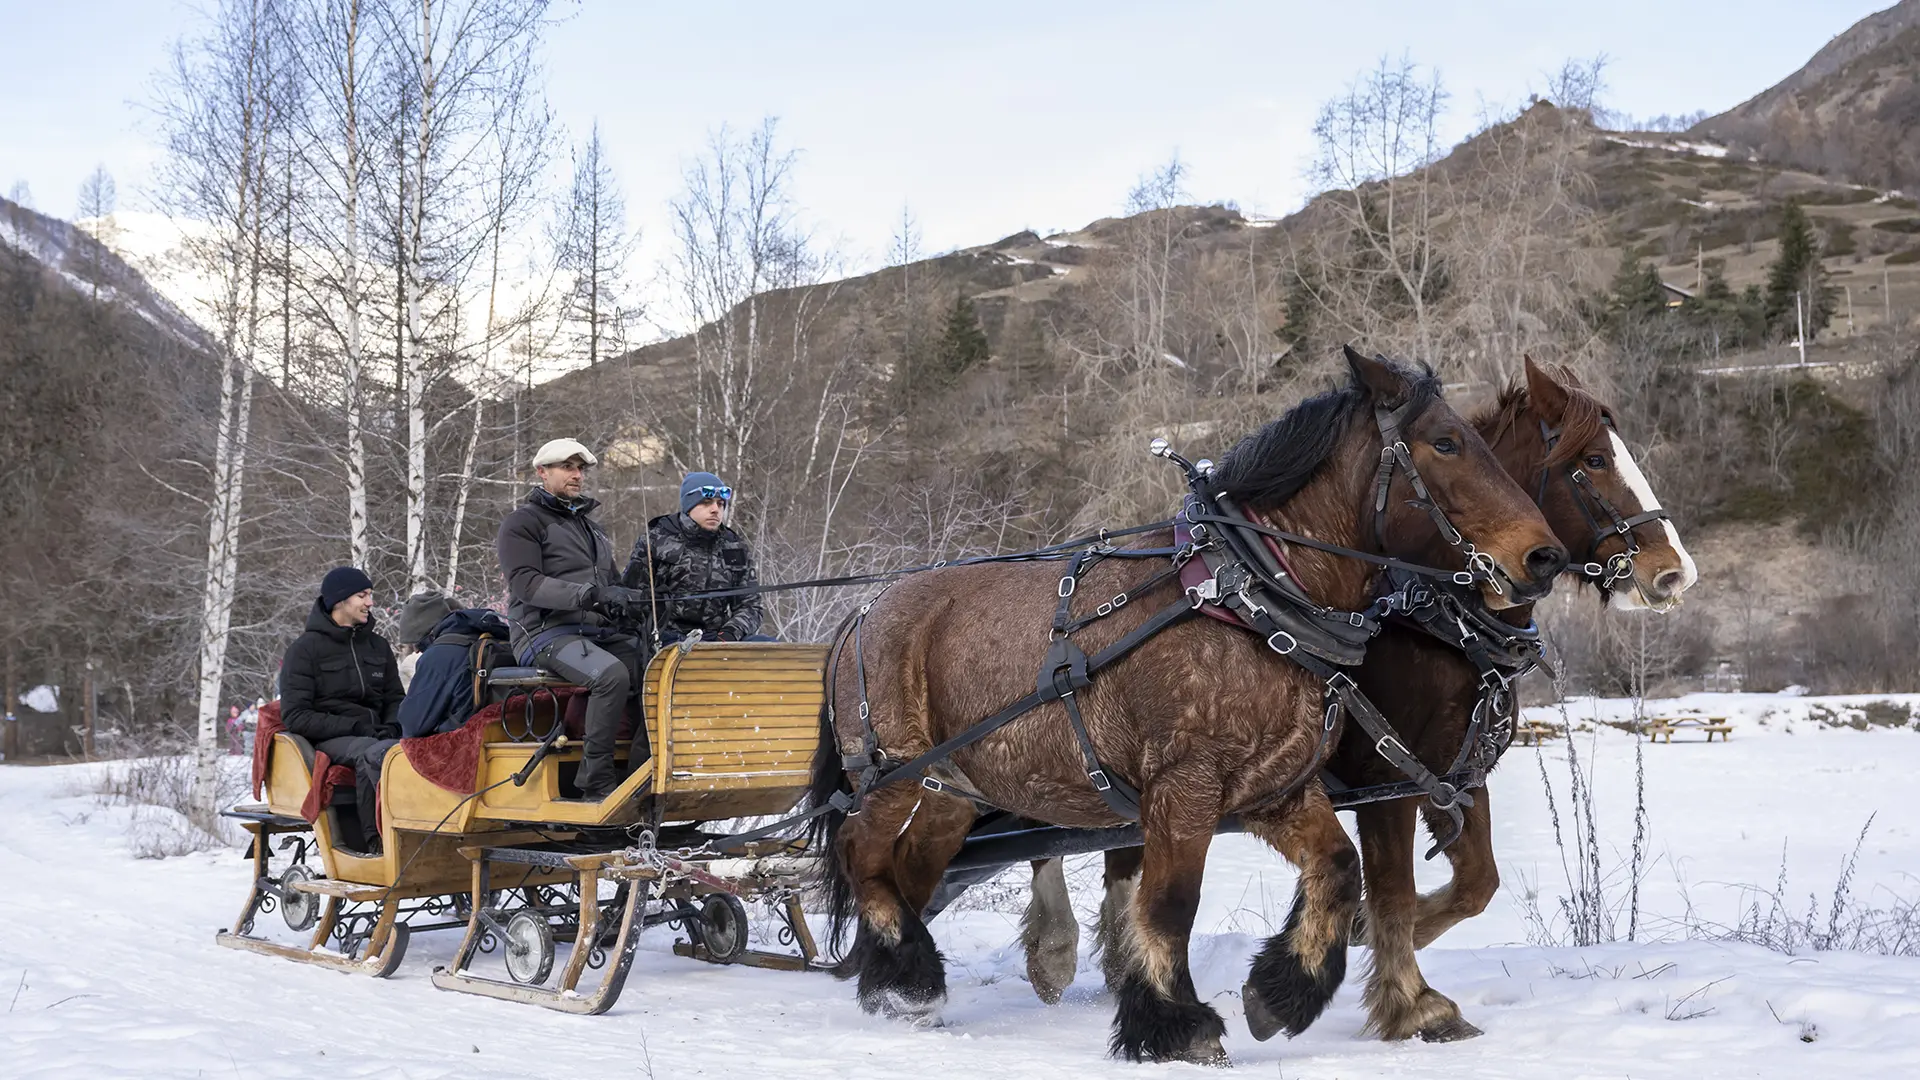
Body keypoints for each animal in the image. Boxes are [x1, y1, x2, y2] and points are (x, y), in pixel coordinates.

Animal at [810, 345, 1574, 1060]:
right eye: (1445, 443)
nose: (1545, 557)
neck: (1251, 597)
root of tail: (865, 609)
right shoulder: (1186, 784)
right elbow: (1171, 906)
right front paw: (1176, 1024)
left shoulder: (1274, 786)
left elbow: (1338, 869)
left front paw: (1281, 993)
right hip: (892, 771)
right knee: (859, 851)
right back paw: (907, 975)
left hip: (952, 789)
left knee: (906, 867)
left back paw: (899, 980)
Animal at [1021, 357, 1697, 1037]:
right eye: (1593, 461)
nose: (1674, 572)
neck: (1435, 622)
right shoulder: (1386, 775)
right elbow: (1395, 888)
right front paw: (1407, 999)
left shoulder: (1451, 771)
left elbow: (1477, 882)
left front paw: (1359, 938)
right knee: (1047, 837)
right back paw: (1056, 949)